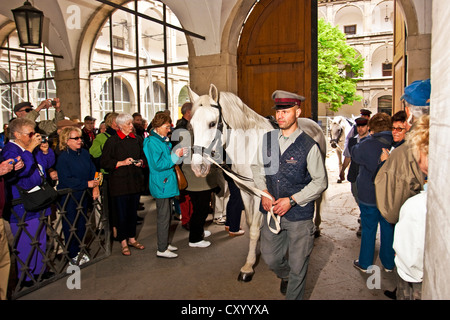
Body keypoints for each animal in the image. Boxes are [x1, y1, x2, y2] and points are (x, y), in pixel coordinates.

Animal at [187, 84, 326, 282]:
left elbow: (253, 229)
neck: (247, 146)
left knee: (318, 200)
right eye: (191, 125)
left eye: (212, 124)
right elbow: (251, 223)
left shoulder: (262, 194)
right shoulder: (246, 191)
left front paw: (248, 267)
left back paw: (317, 228)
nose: (198, 167)